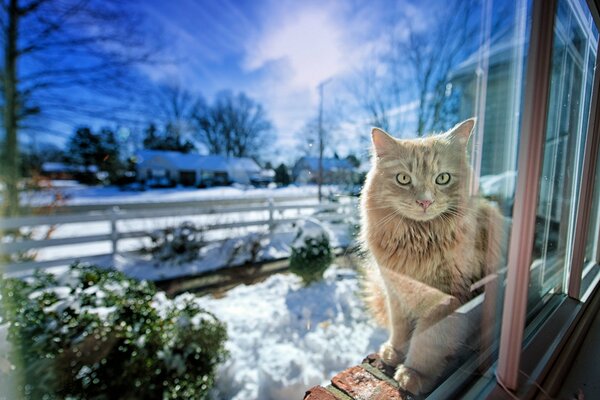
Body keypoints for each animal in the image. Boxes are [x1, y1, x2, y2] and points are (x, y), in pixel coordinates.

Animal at [358, 118, 504, 394]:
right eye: (404, 179)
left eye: (443, 178)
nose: (424, 202)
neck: (418, 241)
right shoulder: (396, 291)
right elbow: (400, 328)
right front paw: (394, 351)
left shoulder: (445, 299)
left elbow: (427, 342)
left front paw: (413, 374)